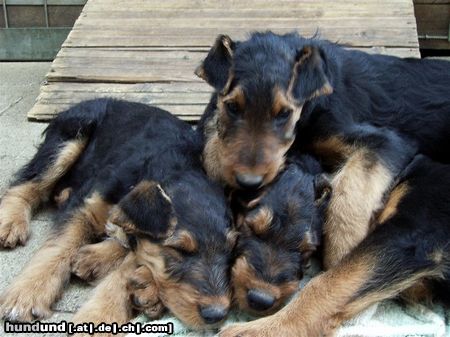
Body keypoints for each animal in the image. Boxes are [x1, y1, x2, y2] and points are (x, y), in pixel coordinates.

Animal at [0, 98, 236, 328]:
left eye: (231, 250)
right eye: (178, 249)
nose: (217, 314)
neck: (176, 164)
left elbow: (130, 260)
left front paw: (100, 314)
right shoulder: (86, 205)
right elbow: (59, 246)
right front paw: (27, 294)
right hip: (66, 141)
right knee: (29, 183)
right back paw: (10, 223)